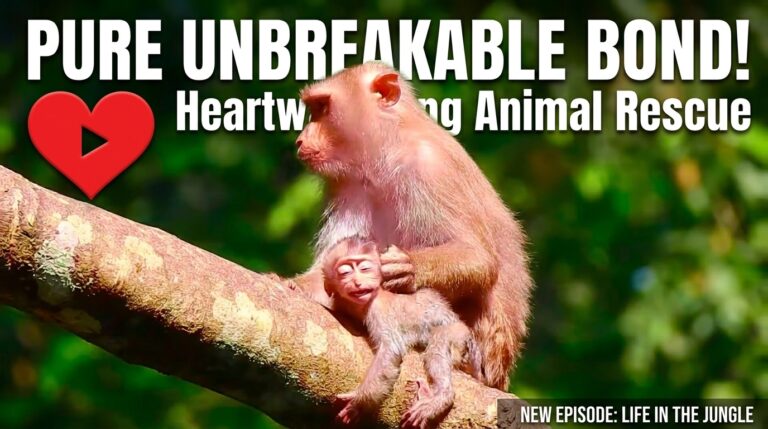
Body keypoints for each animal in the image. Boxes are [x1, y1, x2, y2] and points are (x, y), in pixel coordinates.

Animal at [291, 62, 533, 390]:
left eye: (322, 108)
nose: (301, 139)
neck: (386, 153)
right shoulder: (348, 187)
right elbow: (333, 268)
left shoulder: (432, 167)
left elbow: (479, 258)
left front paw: (409, 269)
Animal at [323, 236, 483, 429]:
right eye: (345, 272)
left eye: (365, 268)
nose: (358, 281)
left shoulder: (378, 309)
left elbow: (390, 349)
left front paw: (359, 403)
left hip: (458, 333)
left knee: (438, 345)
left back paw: (442, 396)